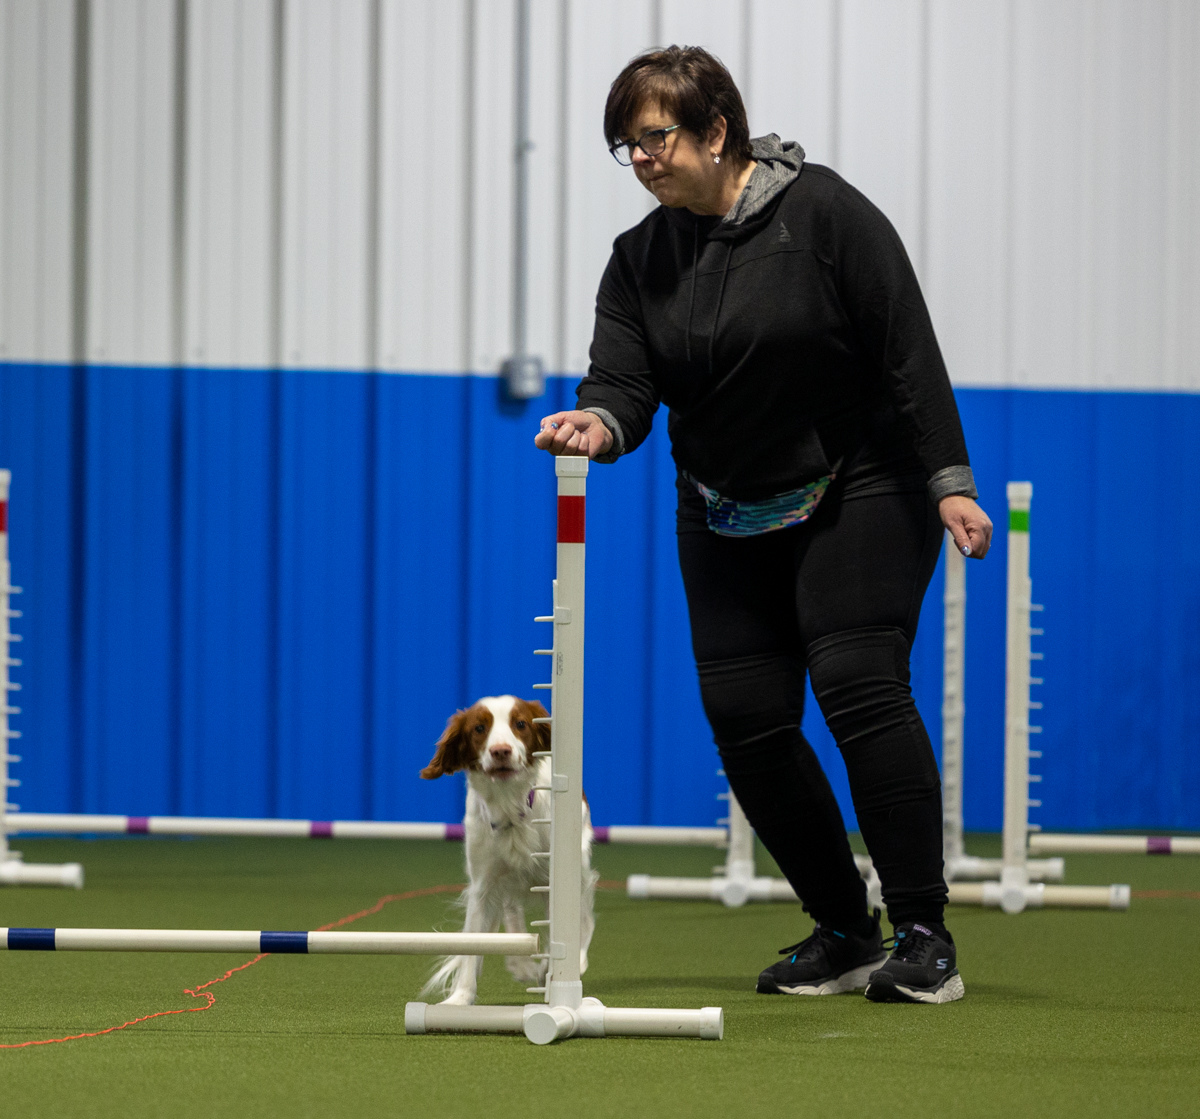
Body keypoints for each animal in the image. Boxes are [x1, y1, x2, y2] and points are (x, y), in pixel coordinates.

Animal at [418, 695, 598, 1006]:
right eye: (479, 728)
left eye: (521, 724)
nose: (500, 751)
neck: (510, 805)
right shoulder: (484, 883)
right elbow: (473, 945)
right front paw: (459, 999)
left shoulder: (554, 880)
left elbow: (564, 929)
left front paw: (555, 969)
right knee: (512, 911)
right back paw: (522, 963)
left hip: (579, 864)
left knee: (584, 918)